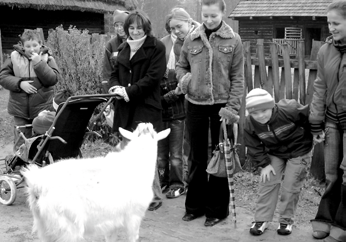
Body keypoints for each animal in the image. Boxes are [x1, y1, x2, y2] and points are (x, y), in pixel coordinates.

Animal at [21, 123, 170, 242]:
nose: (146, 125)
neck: (137, 163)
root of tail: (37, 184)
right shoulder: (134, 217)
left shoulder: (113, 221)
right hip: (68, 228)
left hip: (44, 226)